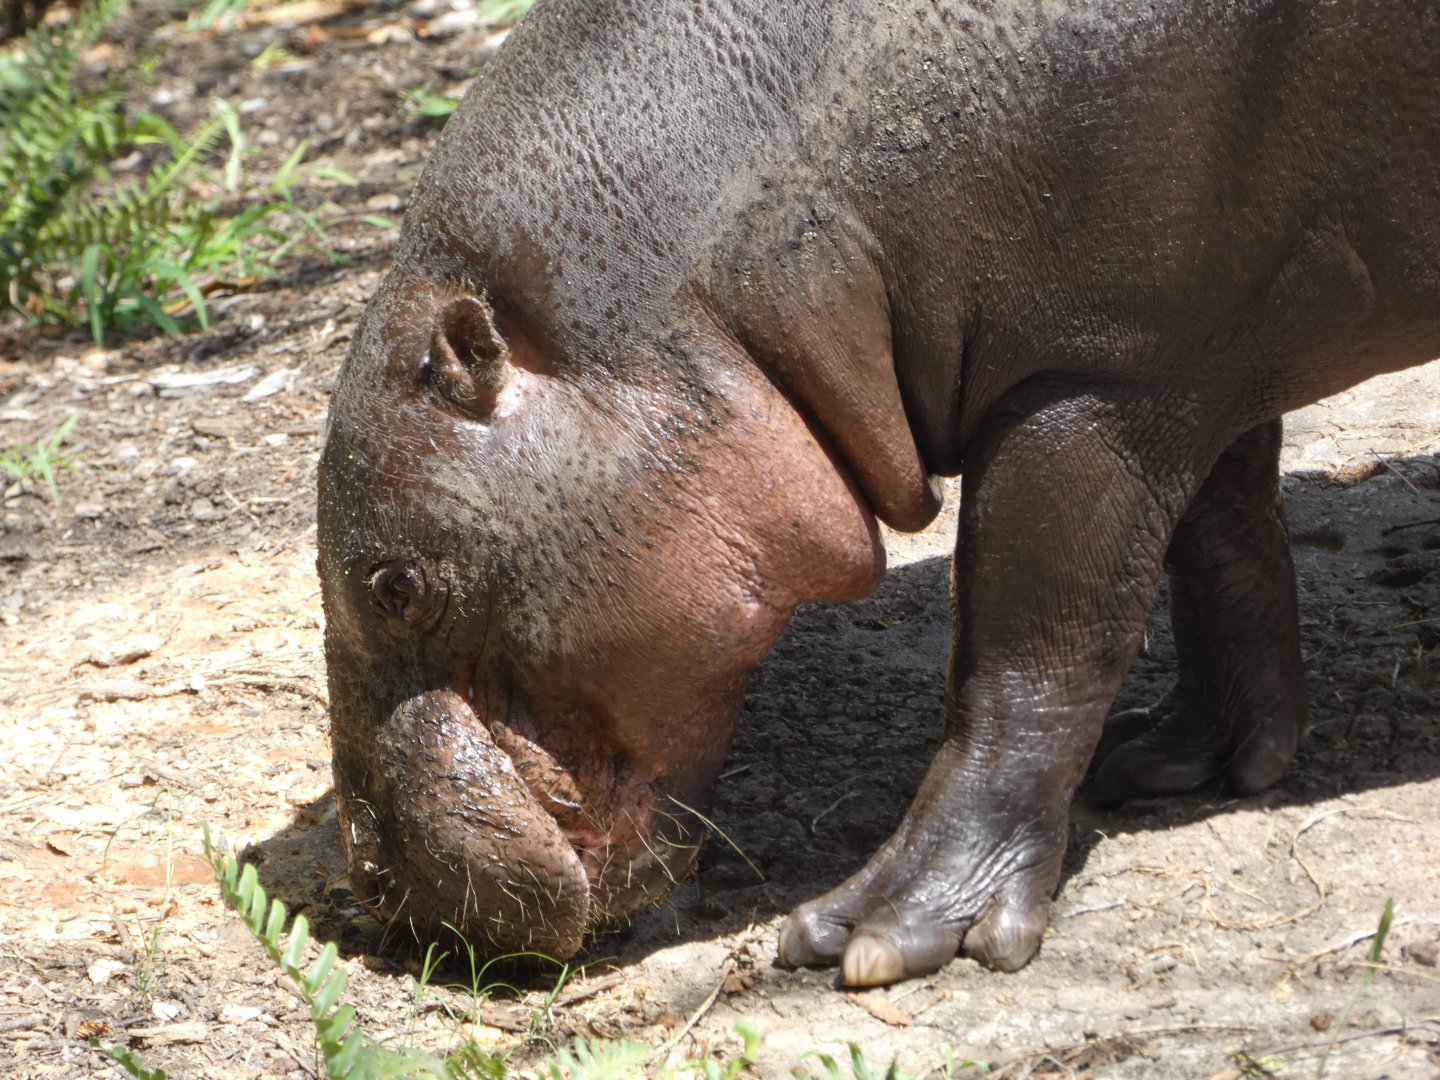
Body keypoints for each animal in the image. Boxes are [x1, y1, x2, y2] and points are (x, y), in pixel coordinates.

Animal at [317, 0, 1440, 987]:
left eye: (393, 585)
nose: (371, 884)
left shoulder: (1089, 386)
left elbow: (1030, 654)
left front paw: (870, 935)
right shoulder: (1198, 358)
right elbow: (1222, 552)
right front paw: (1181, 759)